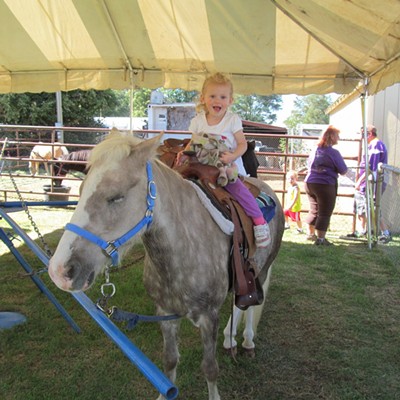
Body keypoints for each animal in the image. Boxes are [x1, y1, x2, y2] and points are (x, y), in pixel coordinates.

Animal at [47, 130, 284, 398]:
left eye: (116, 196)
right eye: (81, 189)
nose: (59, 271)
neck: (183, 247)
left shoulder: (209, 317)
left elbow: (210, 368)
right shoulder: (165, 314)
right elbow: (169, 363)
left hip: (261, 271)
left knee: (251, 304)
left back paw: (247, 340)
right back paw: (229, 338)